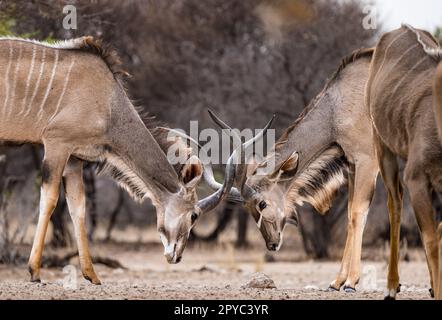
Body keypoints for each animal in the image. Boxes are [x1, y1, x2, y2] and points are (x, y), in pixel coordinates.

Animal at [0, 36, 238, 284]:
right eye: (194, 215)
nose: (176, 256)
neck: (109, 104)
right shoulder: (57, 144)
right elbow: (50, 199)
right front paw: (34, 271)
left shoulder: (74, 157)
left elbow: (78, 206)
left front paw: (92, 274)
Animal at [195, 48, 378, 292]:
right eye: (248, 208)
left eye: (262, 204)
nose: (272, 244)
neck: (338, 105)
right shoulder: (353, 166)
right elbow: (351, 216)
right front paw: (337, 281)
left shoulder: (369, 162)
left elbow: (358, 214)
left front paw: (349, 283)